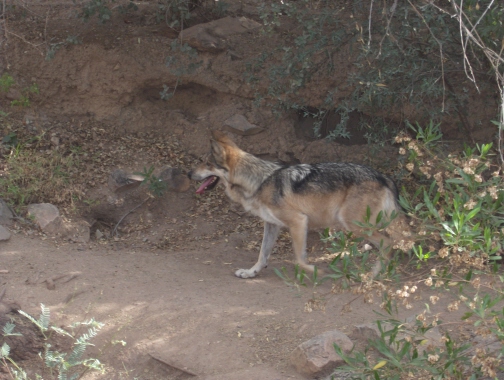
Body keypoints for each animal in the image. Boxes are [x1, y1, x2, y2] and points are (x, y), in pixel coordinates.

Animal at [189, 131, 410, 280]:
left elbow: (299, 259)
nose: (188, 173)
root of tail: (384, 177)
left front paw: (317, 271)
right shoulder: (272, 224)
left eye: (206, 163)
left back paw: (372, 275)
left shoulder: (298, 221)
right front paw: (251, 272)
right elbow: (262, 254)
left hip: (354, 224)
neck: (259, 181)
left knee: (388, 243)